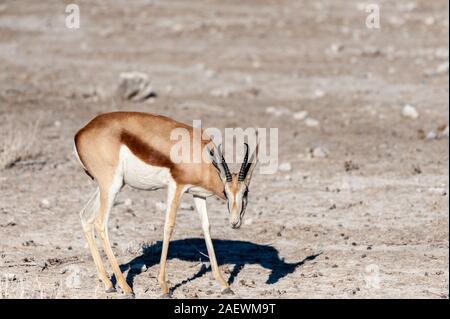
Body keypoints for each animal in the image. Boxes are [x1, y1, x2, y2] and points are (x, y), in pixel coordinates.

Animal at [73, 111, 256, 298]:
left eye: (245, 192)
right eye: (226, 192)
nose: (235, 222)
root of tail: (81, 133)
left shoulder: (198, 194)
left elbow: (206, 227)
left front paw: (224, 285)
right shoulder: (176, 186)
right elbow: (169, 226)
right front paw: (164, 287)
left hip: (109, 186)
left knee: (86, 216)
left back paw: (109, 284)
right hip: (112, 185)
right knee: (100, 223)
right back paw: (126, 288)